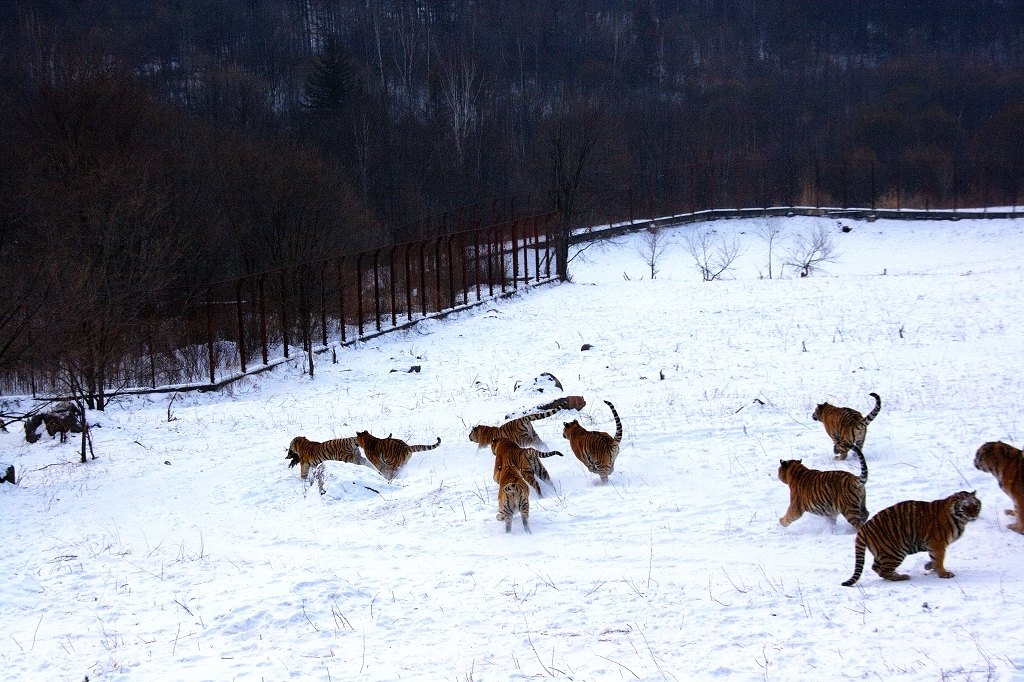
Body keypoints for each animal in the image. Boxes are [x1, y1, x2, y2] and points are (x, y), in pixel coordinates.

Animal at [839, 489, 983, 585]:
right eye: (966, 507)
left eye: (975, 506)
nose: (974, 516)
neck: (960, 519)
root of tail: (864, 528)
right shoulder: (937, 543)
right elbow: (939, 559)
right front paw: (943, 573)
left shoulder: (933, 545)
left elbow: (934, 558)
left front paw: (929, 566)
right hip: (895, 551)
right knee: (882, 570)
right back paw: (901, 577)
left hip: (884, 552)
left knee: (876, 567)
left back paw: (897, 575)